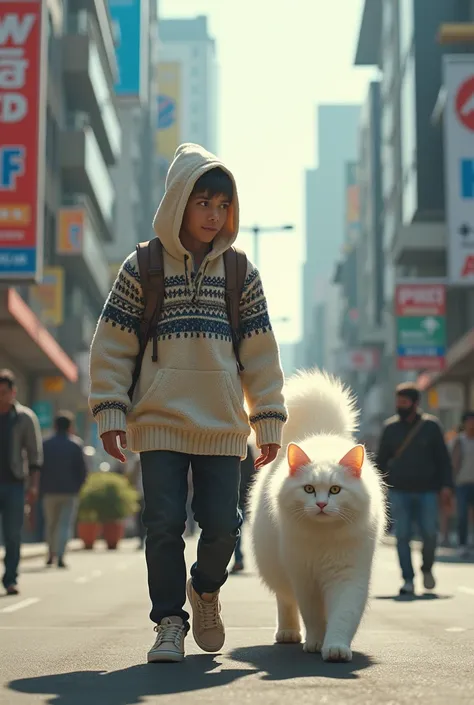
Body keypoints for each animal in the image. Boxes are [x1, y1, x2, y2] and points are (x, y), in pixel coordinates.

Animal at [248, 368, 386, 660]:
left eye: (335, 490)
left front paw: (335, 648)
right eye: (309, 489)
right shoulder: (304, 577)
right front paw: (315, 642)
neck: (324, 539)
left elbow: (343, 614)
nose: (322, 505)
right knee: (285, 601)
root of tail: (318, 431)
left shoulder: (349, 574)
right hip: (277, 568)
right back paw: (288, 633)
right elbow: (312, 615)